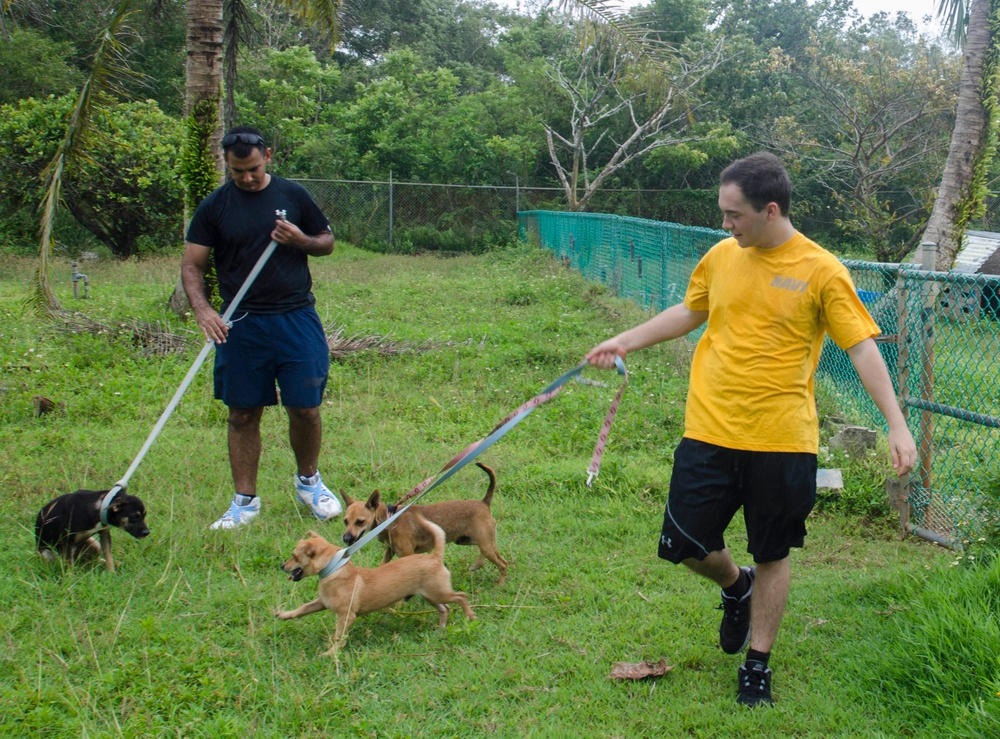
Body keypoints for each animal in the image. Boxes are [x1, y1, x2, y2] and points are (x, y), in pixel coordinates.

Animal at [274, 516, 476, 660]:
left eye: (294, 556)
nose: (282, 566)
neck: (334, 567)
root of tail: (435, 557)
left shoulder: (346, 615)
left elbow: (339, 635)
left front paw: (331, 653)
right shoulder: (321, 603)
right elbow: (302, 609)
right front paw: (284, 614)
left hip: (439, 592)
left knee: (461, 596)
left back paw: (470, 616)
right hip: (431, 595)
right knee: (445, 608)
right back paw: (441, 628)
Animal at [340, 460, 508, 588]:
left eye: (360, 522)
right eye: (345, 521)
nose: (346, 539)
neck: (389, 518)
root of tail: (484, 503)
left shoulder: (407, 555)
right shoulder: (390, 550)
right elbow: (382, 565)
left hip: (484, 544)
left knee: (503, 563)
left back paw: (500, 584)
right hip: (468, 540)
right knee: (494, 555)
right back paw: (478, 564)